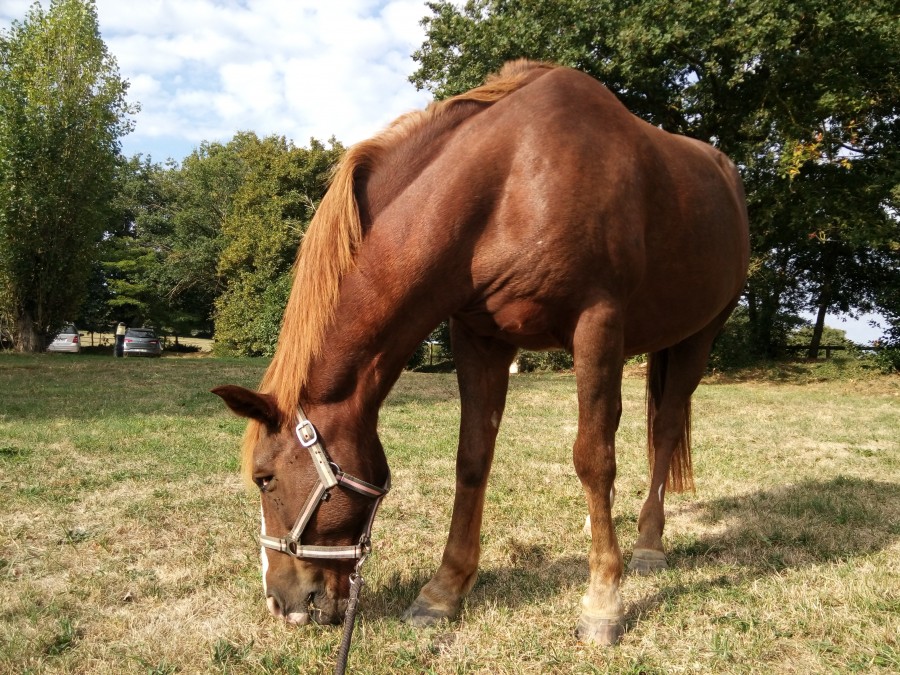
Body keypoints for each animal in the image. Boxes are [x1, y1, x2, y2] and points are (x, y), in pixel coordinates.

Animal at [214, 60, 748, 648]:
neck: (511, 179)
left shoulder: (597, 322)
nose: (280, 602)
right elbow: (473, 459)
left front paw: (603, 599)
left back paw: (648, 544)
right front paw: (444, 591)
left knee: (665, 428)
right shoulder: (479, 337)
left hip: (699, 335)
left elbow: (593, 458)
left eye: (264, 478)